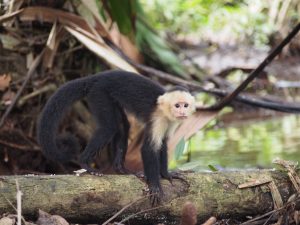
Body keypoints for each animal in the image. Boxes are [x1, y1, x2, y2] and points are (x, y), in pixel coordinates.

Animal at [37, 70, 196, 204]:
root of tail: (96, 77)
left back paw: (121, 169)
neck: (165, 111)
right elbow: (148, 149)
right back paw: (86, 163)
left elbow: (163, 144)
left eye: (185, 105)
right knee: (109, 128)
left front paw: (166, 174)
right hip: (99, 93)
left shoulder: (171, 122)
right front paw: (155, 186)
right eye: (177, 105)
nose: (182, 112)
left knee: (122, 125)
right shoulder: (158, 119)